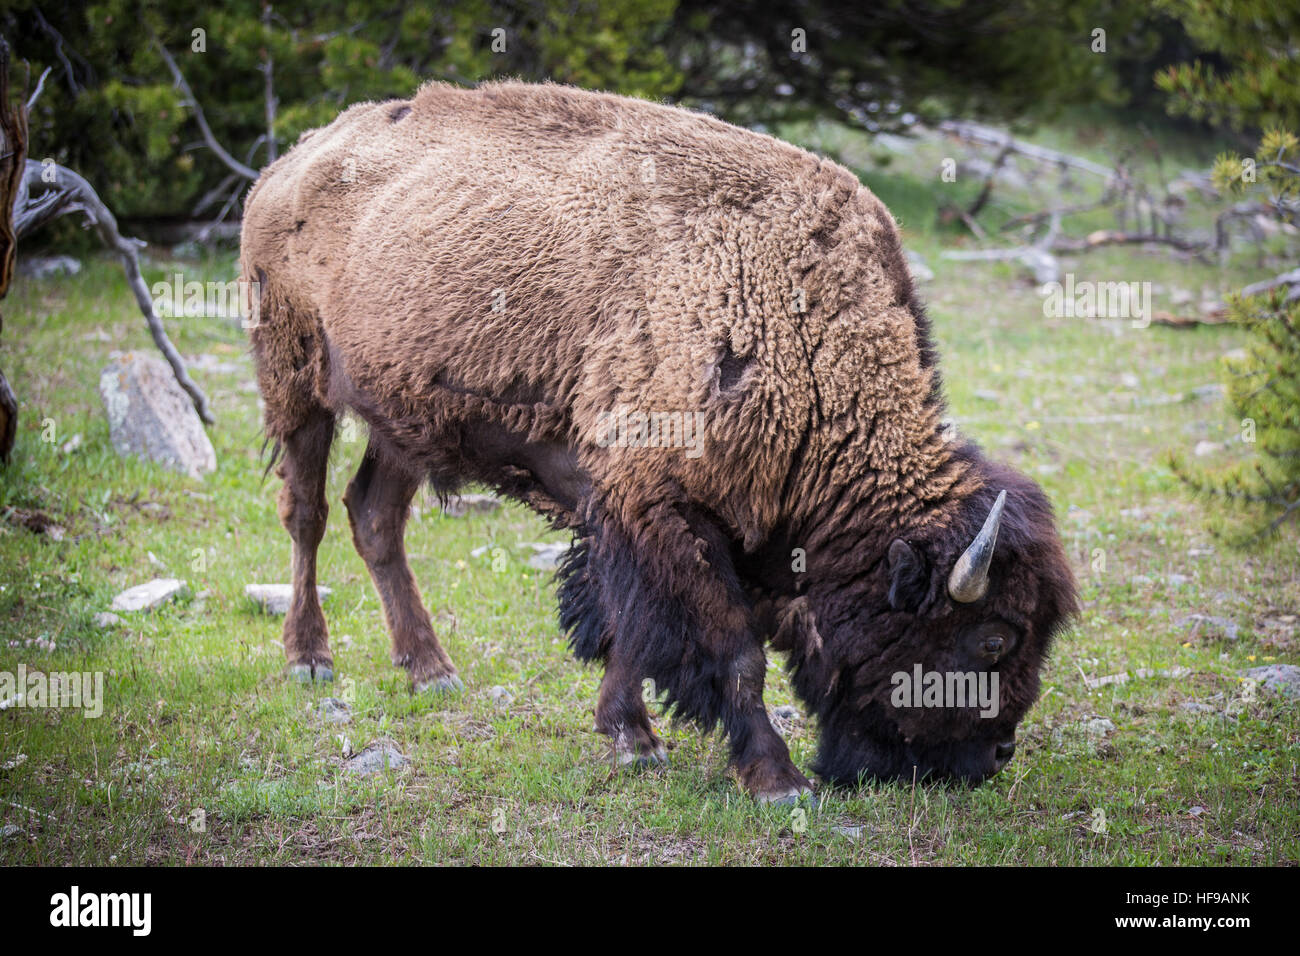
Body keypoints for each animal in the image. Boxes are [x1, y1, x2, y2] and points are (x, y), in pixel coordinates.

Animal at [239, 82, 1071, 806]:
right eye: (993, 640)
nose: (996, 756)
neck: (798, 334)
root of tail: (292, 160)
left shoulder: (640, 516)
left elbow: (630, 627)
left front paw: (632, 736)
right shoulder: (666, 510)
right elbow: (731, 650)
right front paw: (776, 781)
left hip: (405, 419)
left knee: (375, 516)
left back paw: (431, 670)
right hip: (295, 381)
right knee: (307, 513)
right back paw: (310, 660)